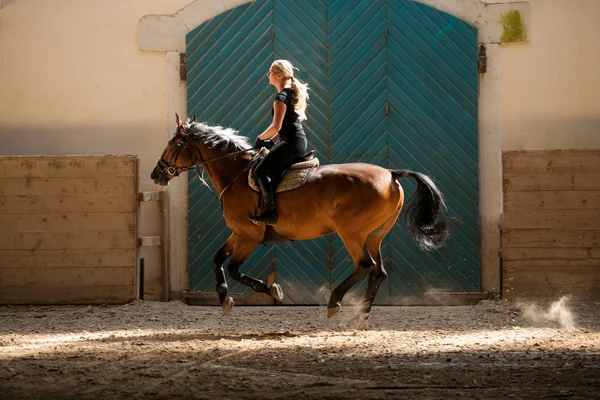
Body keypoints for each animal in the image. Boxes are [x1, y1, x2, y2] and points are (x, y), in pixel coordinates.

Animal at [150, 115, 450, 328]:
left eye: (173, 144)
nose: (156, 174)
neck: (237, 175)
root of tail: (390, 173)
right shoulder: (239, 232)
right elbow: (217, 260)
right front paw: (224, 298)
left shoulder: (249, 235)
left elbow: (234, 268)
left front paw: (271, 290)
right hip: (374, 235)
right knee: (378, 272)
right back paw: (361, 316)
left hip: (352, 233)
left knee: (365, 266)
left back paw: (334, 302)